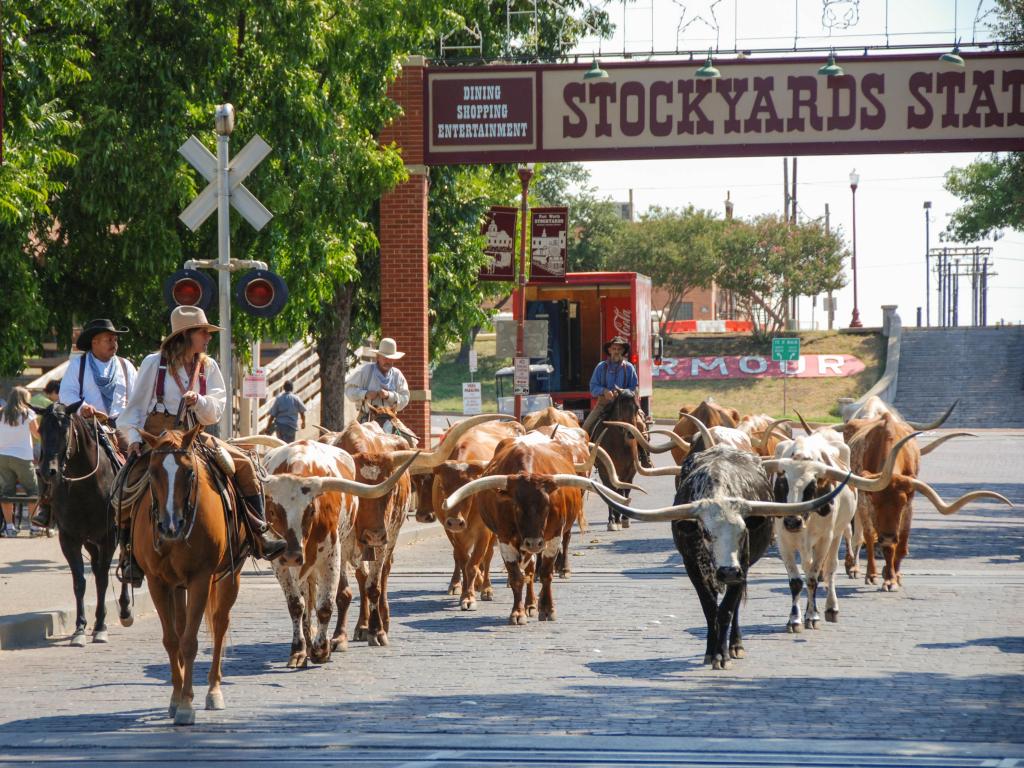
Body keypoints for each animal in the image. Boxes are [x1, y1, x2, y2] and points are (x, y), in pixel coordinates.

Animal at [133, 423, 246, 729]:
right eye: (152, 472)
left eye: (189, 472)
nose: (169, 526)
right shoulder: (157, 582)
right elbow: (172, 639)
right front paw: (175, 698)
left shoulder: (200, 579)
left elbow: (190, 641)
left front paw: (186, 705)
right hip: (178, 586)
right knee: (182, 624)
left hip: (229, 576)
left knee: (219, 624)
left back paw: (213, 690)